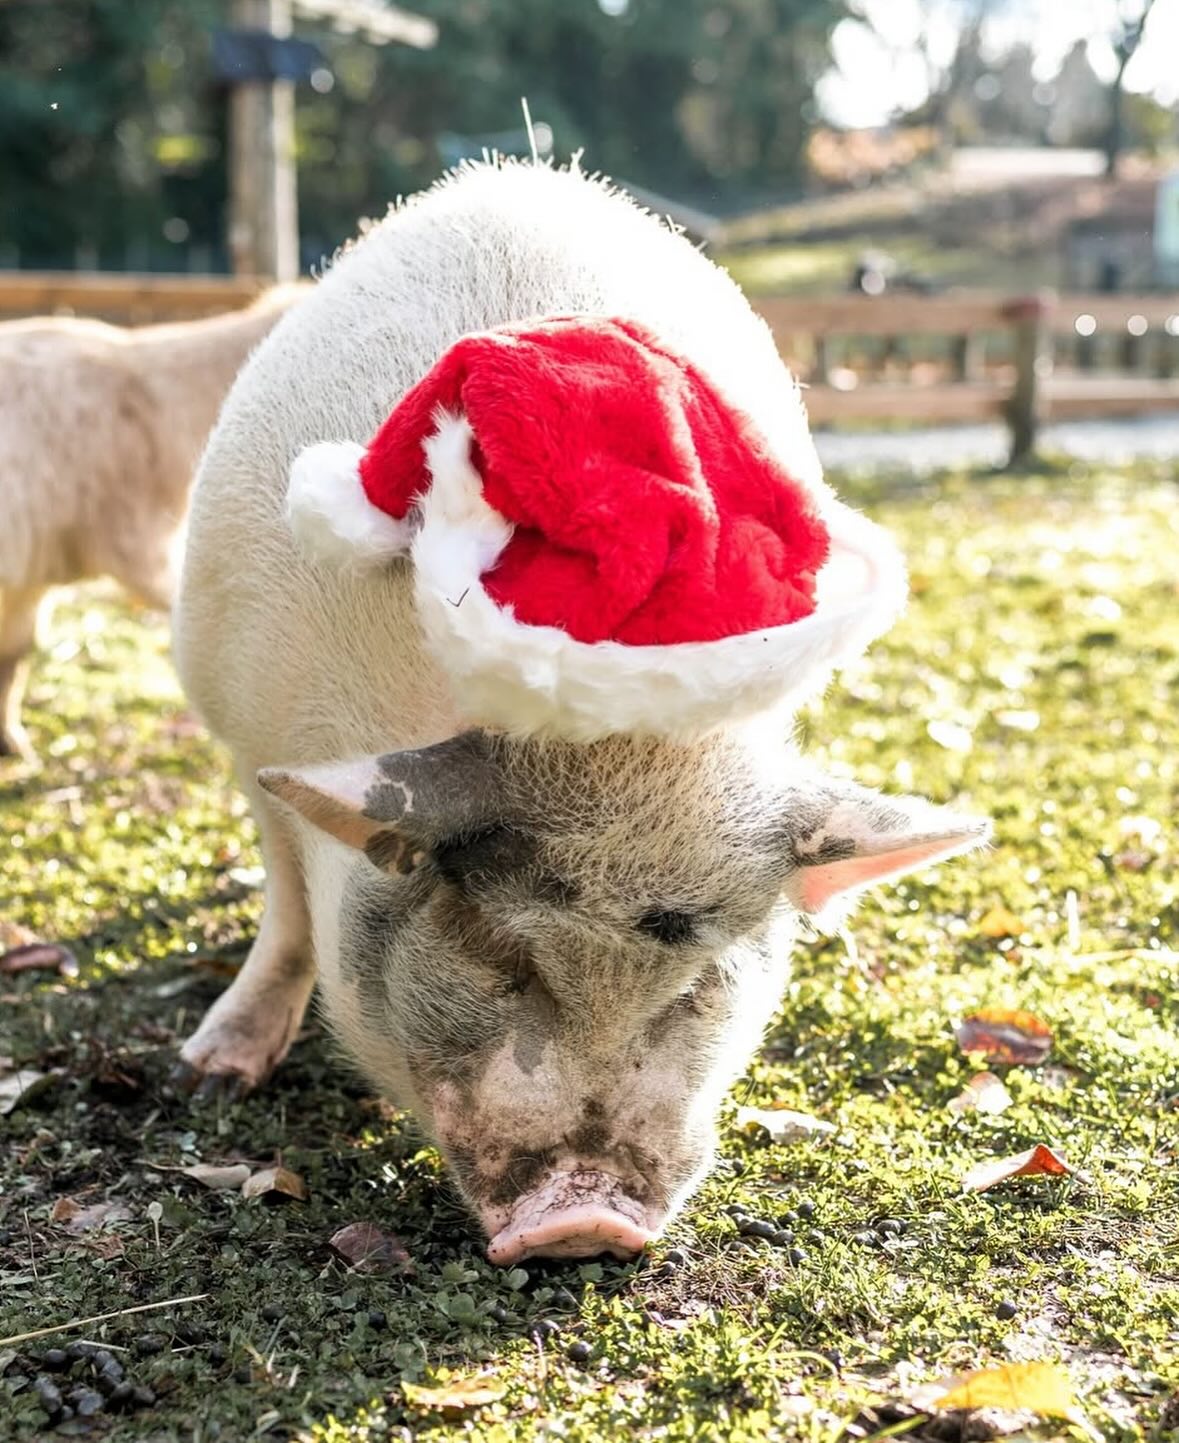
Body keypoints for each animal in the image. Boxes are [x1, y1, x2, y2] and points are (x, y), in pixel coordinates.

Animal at [172, 161, 987, 1264]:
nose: (585, 1220)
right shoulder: (245, 726)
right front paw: (211, 1072)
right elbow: (291, 906)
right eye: (500, 953)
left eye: (699, 982)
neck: (614, 754)